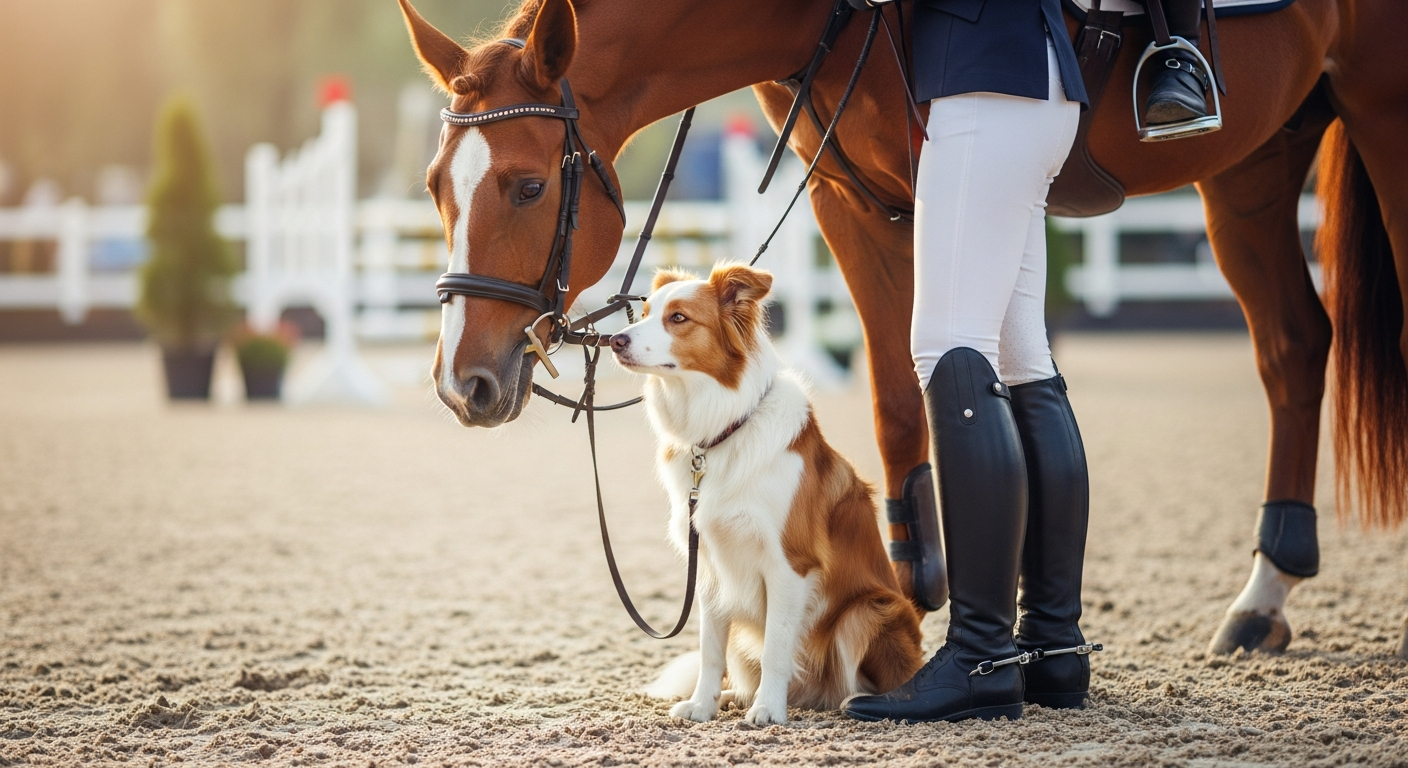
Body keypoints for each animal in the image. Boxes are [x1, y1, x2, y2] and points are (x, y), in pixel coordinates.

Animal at [397, 0, 1408, 656]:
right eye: (437, 186)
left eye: (528, 185)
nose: (462, 383)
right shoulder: (855, 199)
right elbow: (896, 394)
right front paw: (912, 591)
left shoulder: (951, 182)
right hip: (1253, 163)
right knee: (1292, 347)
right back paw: (1262, 596)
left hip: (1380, 111)